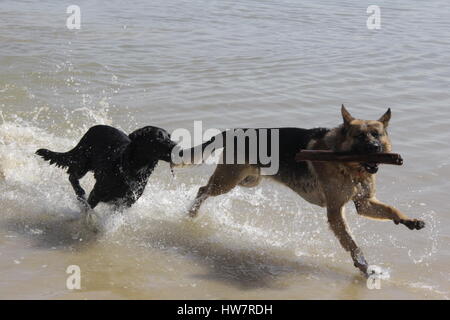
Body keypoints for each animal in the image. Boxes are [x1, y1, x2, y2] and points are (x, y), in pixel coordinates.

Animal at [176, 106, 426, 276]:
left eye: (377, 134)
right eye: (359, 136)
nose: (375, 148)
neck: (349, 165)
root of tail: (235, 131)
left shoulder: (364, 203)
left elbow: (391, 209)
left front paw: (409, 220)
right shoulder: (335, 212)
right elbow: (352, 244)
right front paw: (364, 268)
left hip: (247, 180)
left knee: (206, 188)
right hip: (228, 181)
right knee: (202, 189)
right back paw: (191, 213)